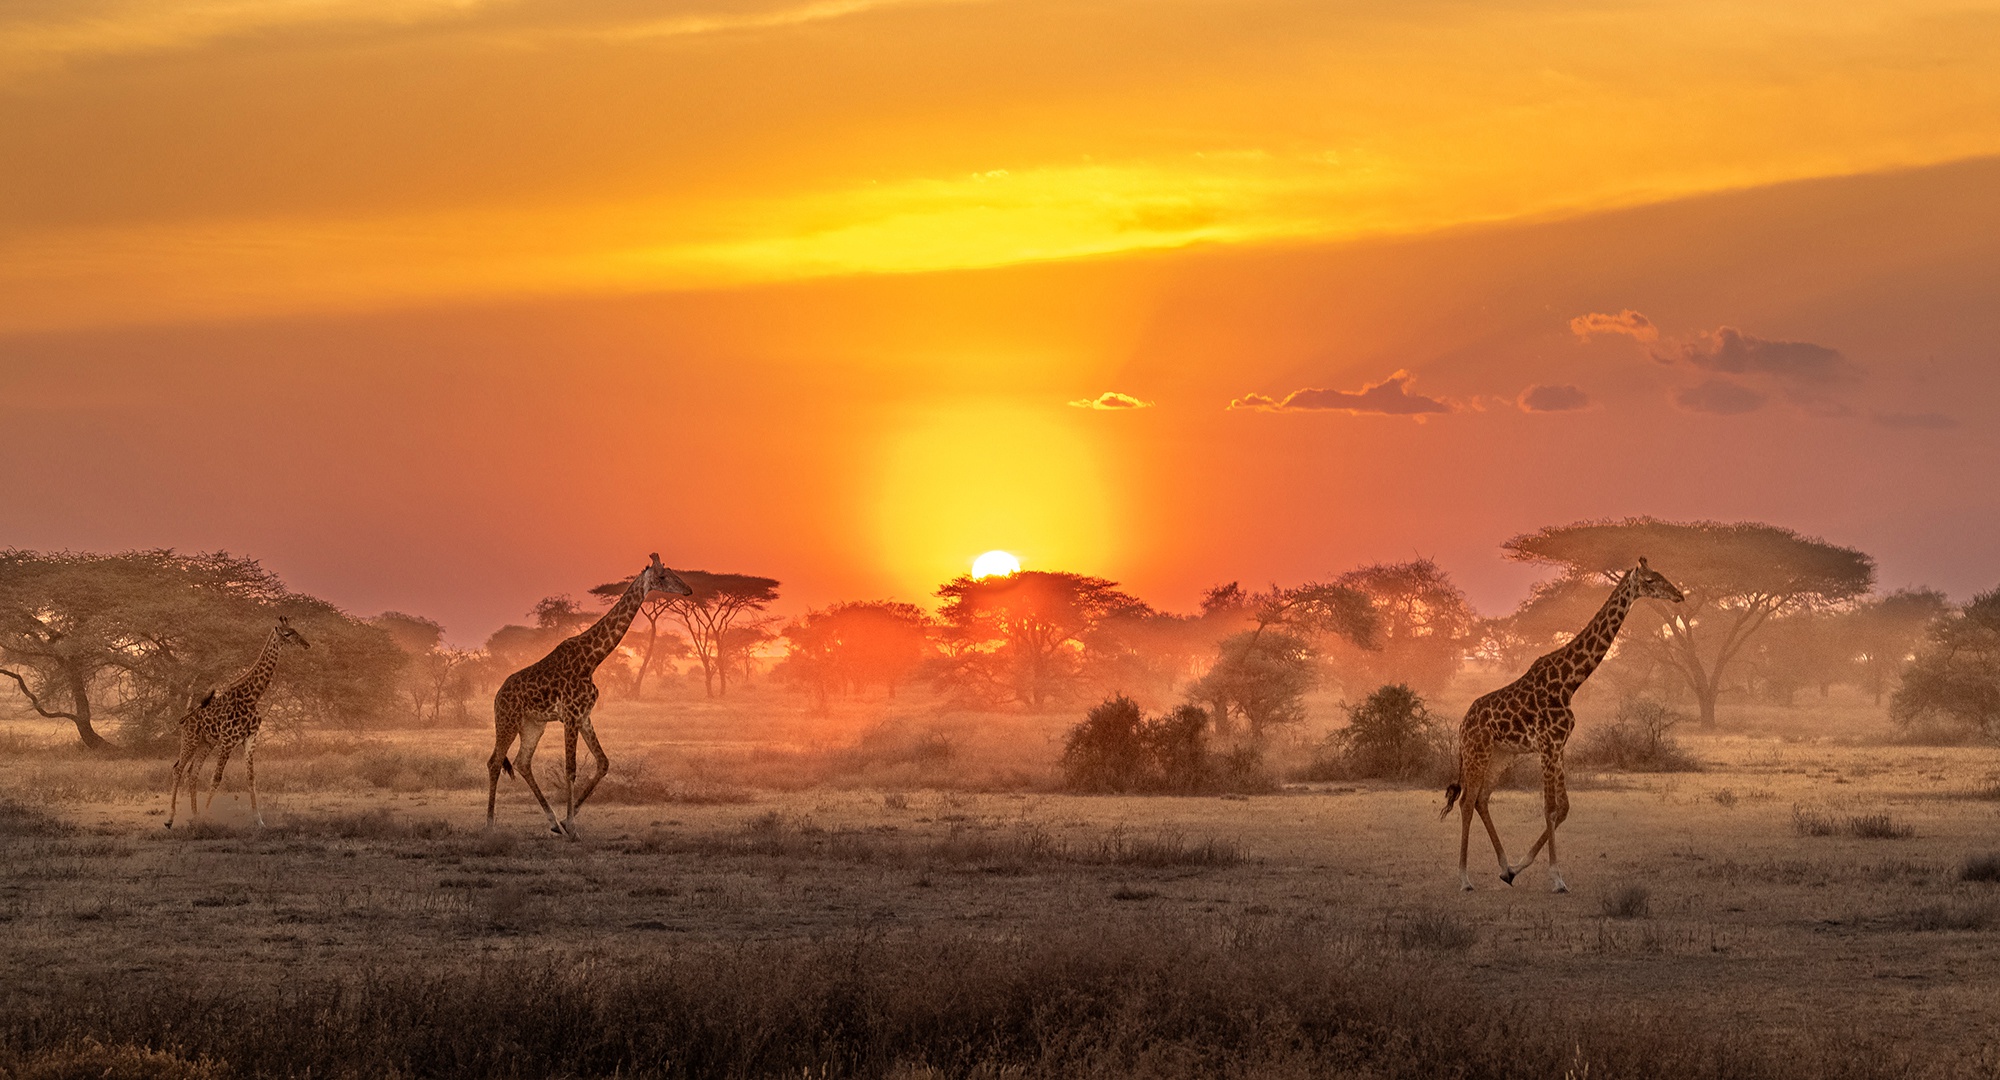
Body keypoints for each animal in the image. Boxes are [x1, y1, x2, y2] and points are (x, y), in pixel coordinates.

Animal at [165, 615, 311, 829]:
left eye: (295, 630)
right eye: (287, 633)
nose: (306, 645)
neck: (252, 696)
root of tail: (186, 717)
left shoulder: (250, 739)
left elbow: (250, 778)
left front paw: (259, 820)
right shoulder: (228, 739)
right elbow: (216, 778)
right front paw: (209, 814)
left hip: (207, 742)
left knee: (193, 772)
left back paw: (195, 816)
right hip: (190, 739)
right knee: (178, 769)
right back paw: (170, 819)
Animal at [487, 553, 692, 837]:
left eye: (673, 573)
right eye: (662, 576)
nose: (688, 590)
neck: (592, 659)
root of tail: (497, 695)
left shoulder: (584, 716)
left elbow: (603, 763)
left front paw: (566, 821)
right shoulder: (571, 716)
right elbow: (570, 769)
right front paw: (572, 827)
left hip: (533, 724)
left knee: (522, 762)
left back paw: (552, 823)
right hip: (507, 720)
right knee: (495, 762)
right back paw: (489, 824)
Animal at [1442, 559, 1684, 892]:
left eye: (1661, 575)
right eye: (1650, 580)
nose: (1679, 595)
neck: (1569, 682)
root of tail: (1462, 723)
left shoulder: (1558, 747)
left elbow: (1564, 808)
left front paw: (1516, 868)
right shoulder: (1547, 745)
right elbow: (1550, 808)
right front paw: (1556, 878)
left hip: (1501, 755)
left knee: (1481, 799)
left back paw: (1503, 866)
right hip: (1477, 752)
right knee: (1466, 802)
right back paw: (1464, 879)